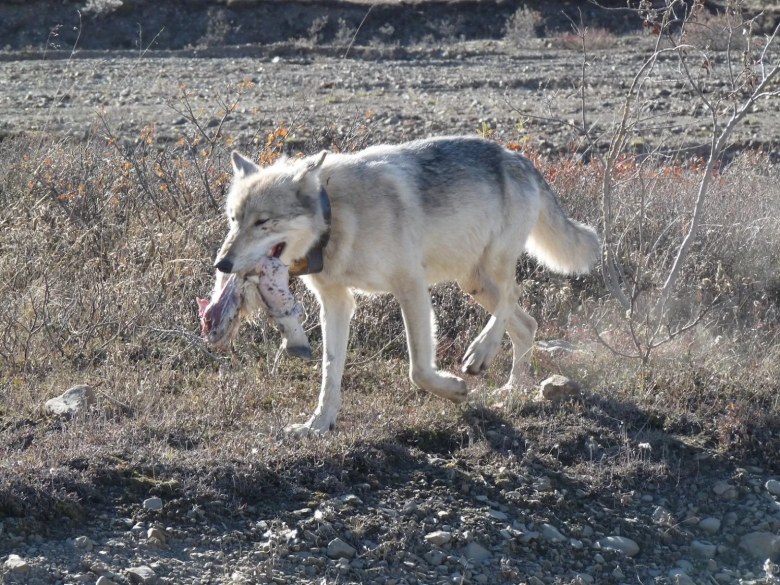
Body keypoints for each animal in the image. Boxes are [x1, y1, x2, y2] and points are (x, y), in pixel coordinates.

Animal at [210, 136, 600, 434]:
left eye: (262, 222)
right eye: (233, 219)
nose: (222, 264)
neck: (336, 216)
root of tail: (520, 158)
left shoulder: (410, 285)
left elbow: (418, 370)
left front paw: (454, 391)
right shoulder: (337, 303)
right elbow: (329, 374)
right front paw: (317, 425)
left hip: (491, 268)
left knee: (512, 298)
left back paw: (480, 354)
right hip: (473, 282)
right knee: (527, 324)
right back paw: (511, 391)